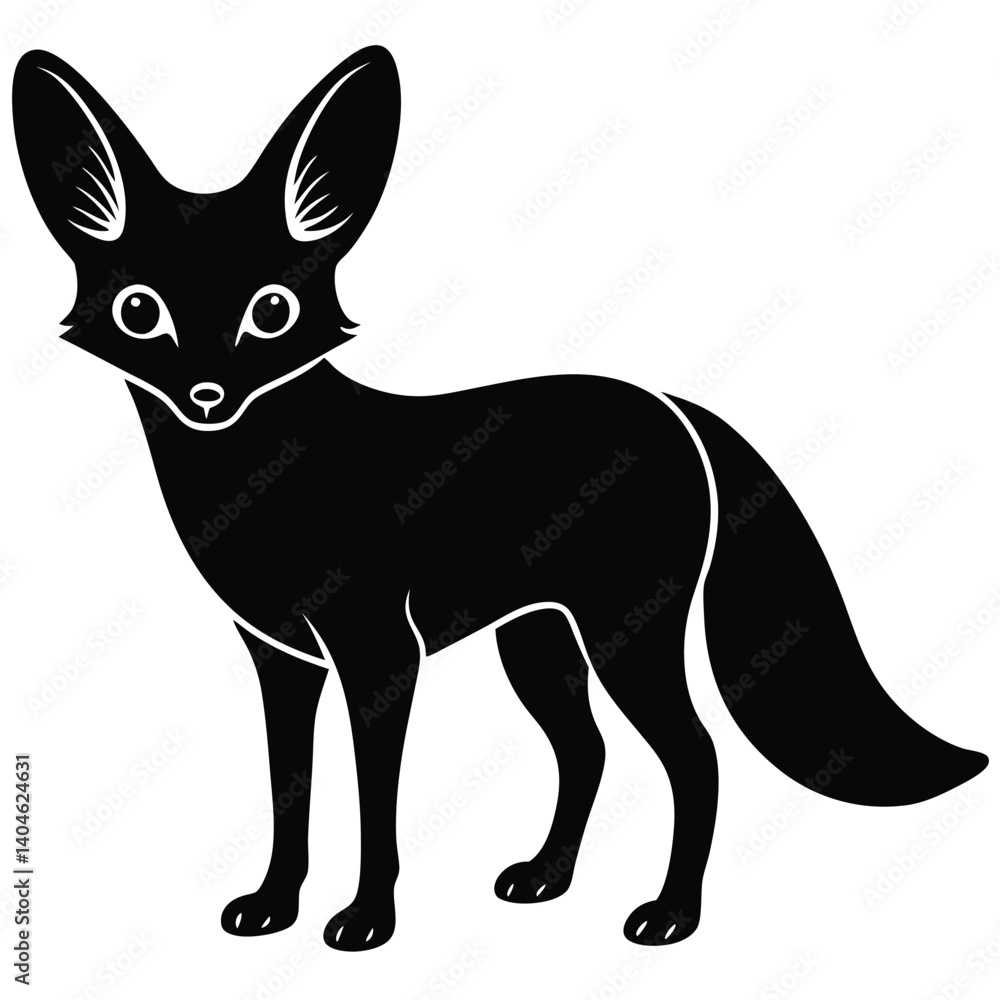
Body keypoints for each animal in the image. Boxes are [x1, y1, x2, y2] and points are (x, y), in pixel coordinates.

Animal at [12, 46, 987, 951]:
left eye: (272, 311)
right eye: (142, 312)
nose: (208, 395)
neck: (258, 483)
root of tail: (673, 404)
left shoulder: (379, 654)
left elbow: (374, 802)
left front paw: (366, 920)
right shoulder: (280, 660)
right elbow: (290, 793)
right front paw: (273, 904)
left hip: (624, 635)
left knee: (697, 757)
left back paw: (671, 916)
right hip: (537, 640)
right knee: (589, 751)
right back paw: (547, 877)